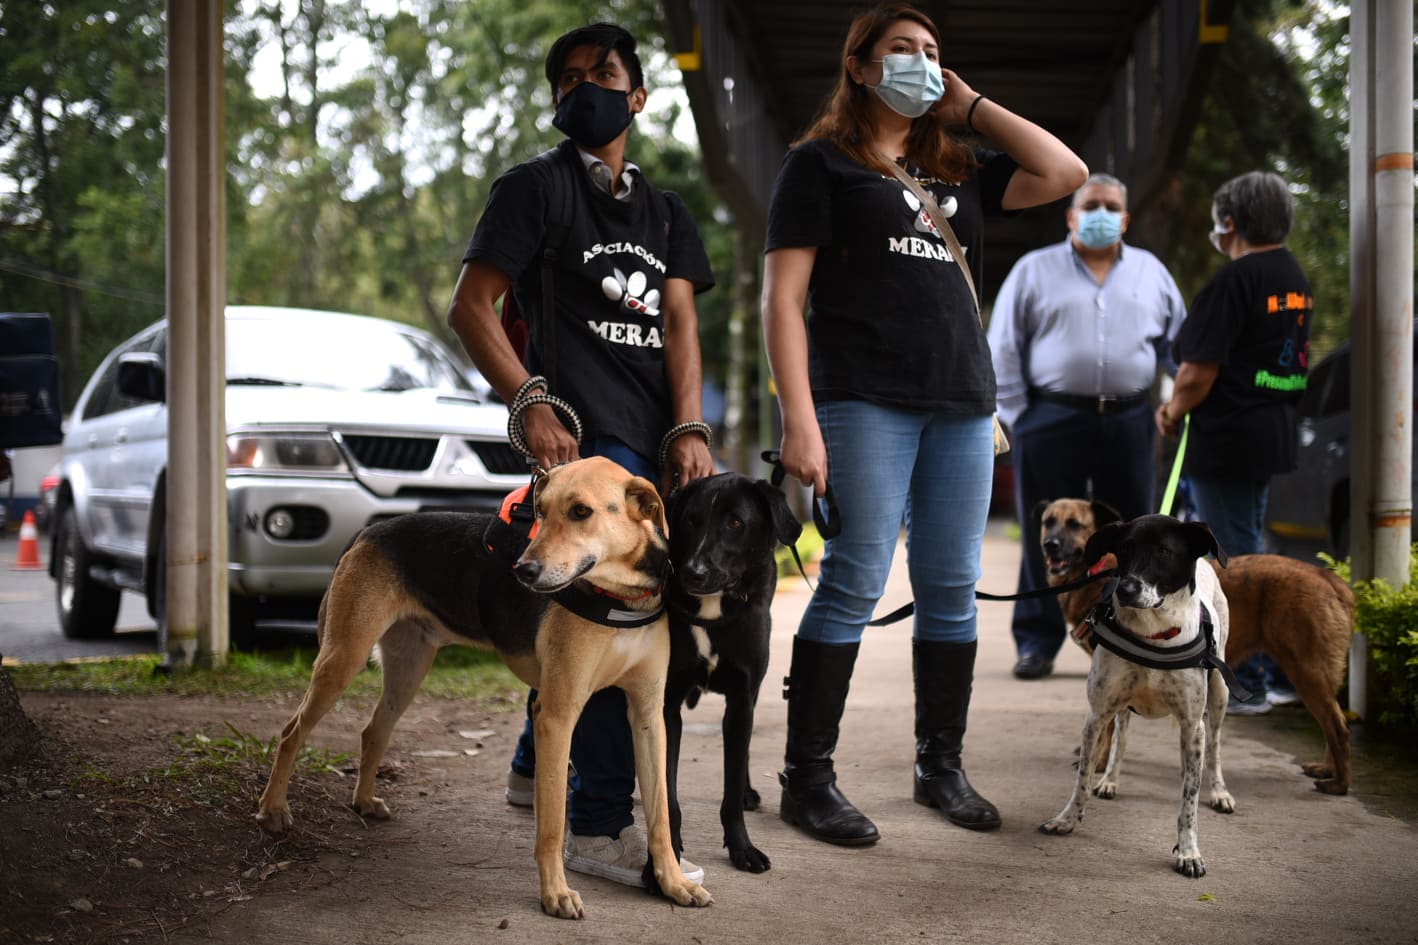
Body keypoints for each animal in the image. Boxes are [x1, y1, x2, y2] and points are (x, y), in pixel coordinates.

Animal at [660, 468, 805, 874]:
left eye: (735, 523)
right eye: (691, 521)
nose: (692, 573)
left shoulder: (741, 699)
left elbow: (732, 777)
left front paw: (742, 847)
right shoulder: (667, 705)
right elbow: (667, 793)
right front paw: (668, 852)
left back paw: (747, 791)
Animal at [1037, 496, 1355, 788]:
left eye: (1075, 524)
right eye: (1048, 521)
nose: (1050, 544)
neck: (1096, 574)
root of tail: (1331, 578)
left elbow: (1108, 731)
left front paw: (1100, 764)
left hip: (1306, 671)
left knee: (1338, 726)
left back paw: (1339, 784)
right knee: (1333, 724)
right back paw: (1327, 770)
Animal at [1037, 516, 1236, 874]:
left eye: (1164, 551)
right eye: (1125, 548)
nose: (1125, 589)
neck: (1152, 632)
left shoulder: (1192, 727)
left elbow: (1188, 799)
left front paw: (1189, 852)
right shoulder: (1097, 715)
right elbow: (1083, 776)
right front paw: (1068, 819)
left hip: (1219, 693)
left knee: (1214, 746)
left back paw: (1219, 793)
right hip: (1121, 704)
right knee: (1122, 737)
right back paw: (1111, 780)